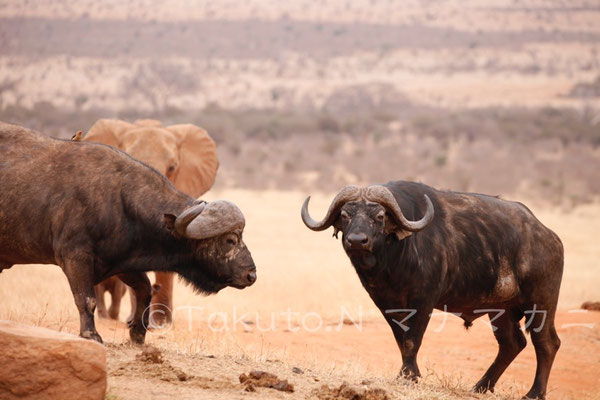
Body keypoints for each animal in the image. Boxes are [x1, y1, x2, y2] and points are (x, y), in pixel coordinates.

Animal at [302, 181, 564, 400]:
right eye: (345, 216)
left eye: (379, 216)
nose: (357, 240)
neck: (394, 259)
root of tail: (549, 236)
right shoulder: (386, 304)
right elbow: (401, 339)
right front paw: (409, 373)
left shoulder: (423, 301)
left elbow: (412, 339)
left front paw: (409, 376)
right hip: (501, 309)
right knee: (512, 344)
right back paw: (481, 386)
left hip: (540, 303)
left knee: (546, 343)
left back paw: (534, 393)